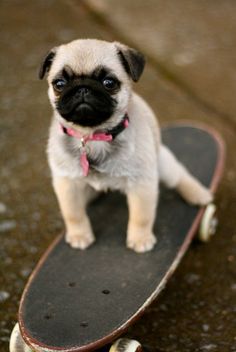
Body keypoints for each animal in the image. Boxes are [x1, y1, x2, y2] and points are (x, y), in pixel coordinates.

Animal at [39, 39, 213, 253]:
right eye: (59, 84)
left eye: (109, 83)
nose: (82, 88)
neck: (94, 136)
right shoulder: (67, 184)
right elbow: (73, 214)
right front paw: (79, 235)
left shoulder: (141, 183)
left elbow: (141, 216)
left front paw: (140, 239)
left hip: (163, 164)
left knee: (179, 175)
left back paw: (198, 194)